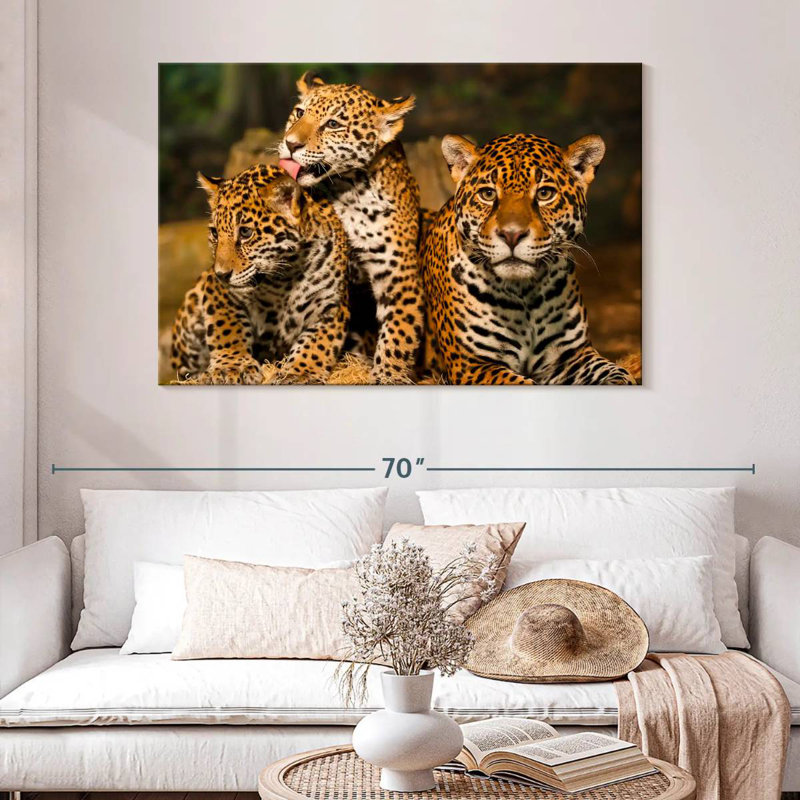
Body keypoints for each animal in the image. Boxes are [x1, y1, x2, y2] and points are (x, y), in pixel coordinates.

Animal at [170, 164, 350, 385]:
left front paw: (300, 372)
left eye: (246, 233)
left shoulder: (331, 305)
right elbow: (227, 327)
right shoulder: (217, 291)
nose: (221, 274)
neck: (286, 276)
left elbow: (317, 343)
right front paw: (232, 367)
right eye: (215, 233)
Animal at [277, 71, 424, 384]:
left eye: (333, 124)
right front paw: (298, 371)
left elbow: (399, 333)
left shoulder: (400, 277)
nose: (290, 144)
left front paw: (388, 376)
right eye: (299, 113)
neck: (349, 191)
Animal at [421, 132, 635, 385]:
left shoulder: (572, 355)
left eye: (544, 194)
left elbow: (617, 373)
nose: (512, 235)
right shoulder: (471, 365)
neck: (524, 294)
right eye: (488, 194)